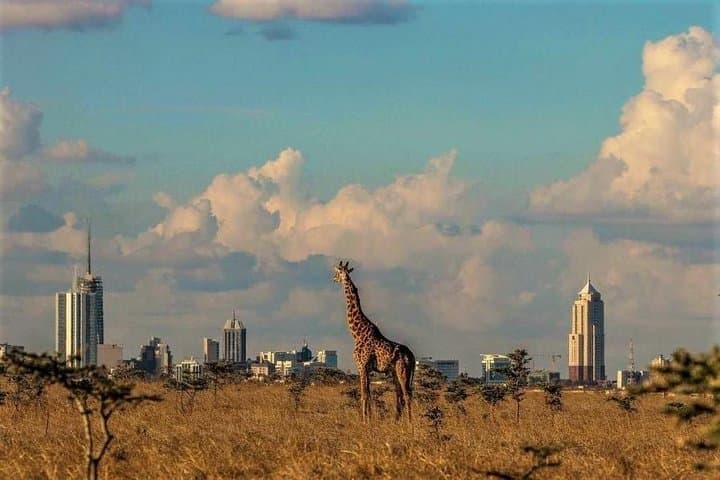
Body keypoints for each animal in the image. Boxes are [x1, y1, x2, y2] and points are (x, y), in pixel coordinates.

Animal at [332, 261, 415, 422]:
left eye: (338, 271)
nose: (333, 279)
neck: (357, 333)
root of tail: (413, 357)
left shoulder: (362, 366)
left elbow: (364, 395)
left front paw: (364, 421)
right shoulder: (367, 368)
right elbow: (369, 395)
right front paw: (369, 419)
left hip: (402, 370)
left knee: (407, 395)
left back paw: (409, 423)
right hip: (396, 372)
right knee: (400, 396)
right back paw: (396, 421)